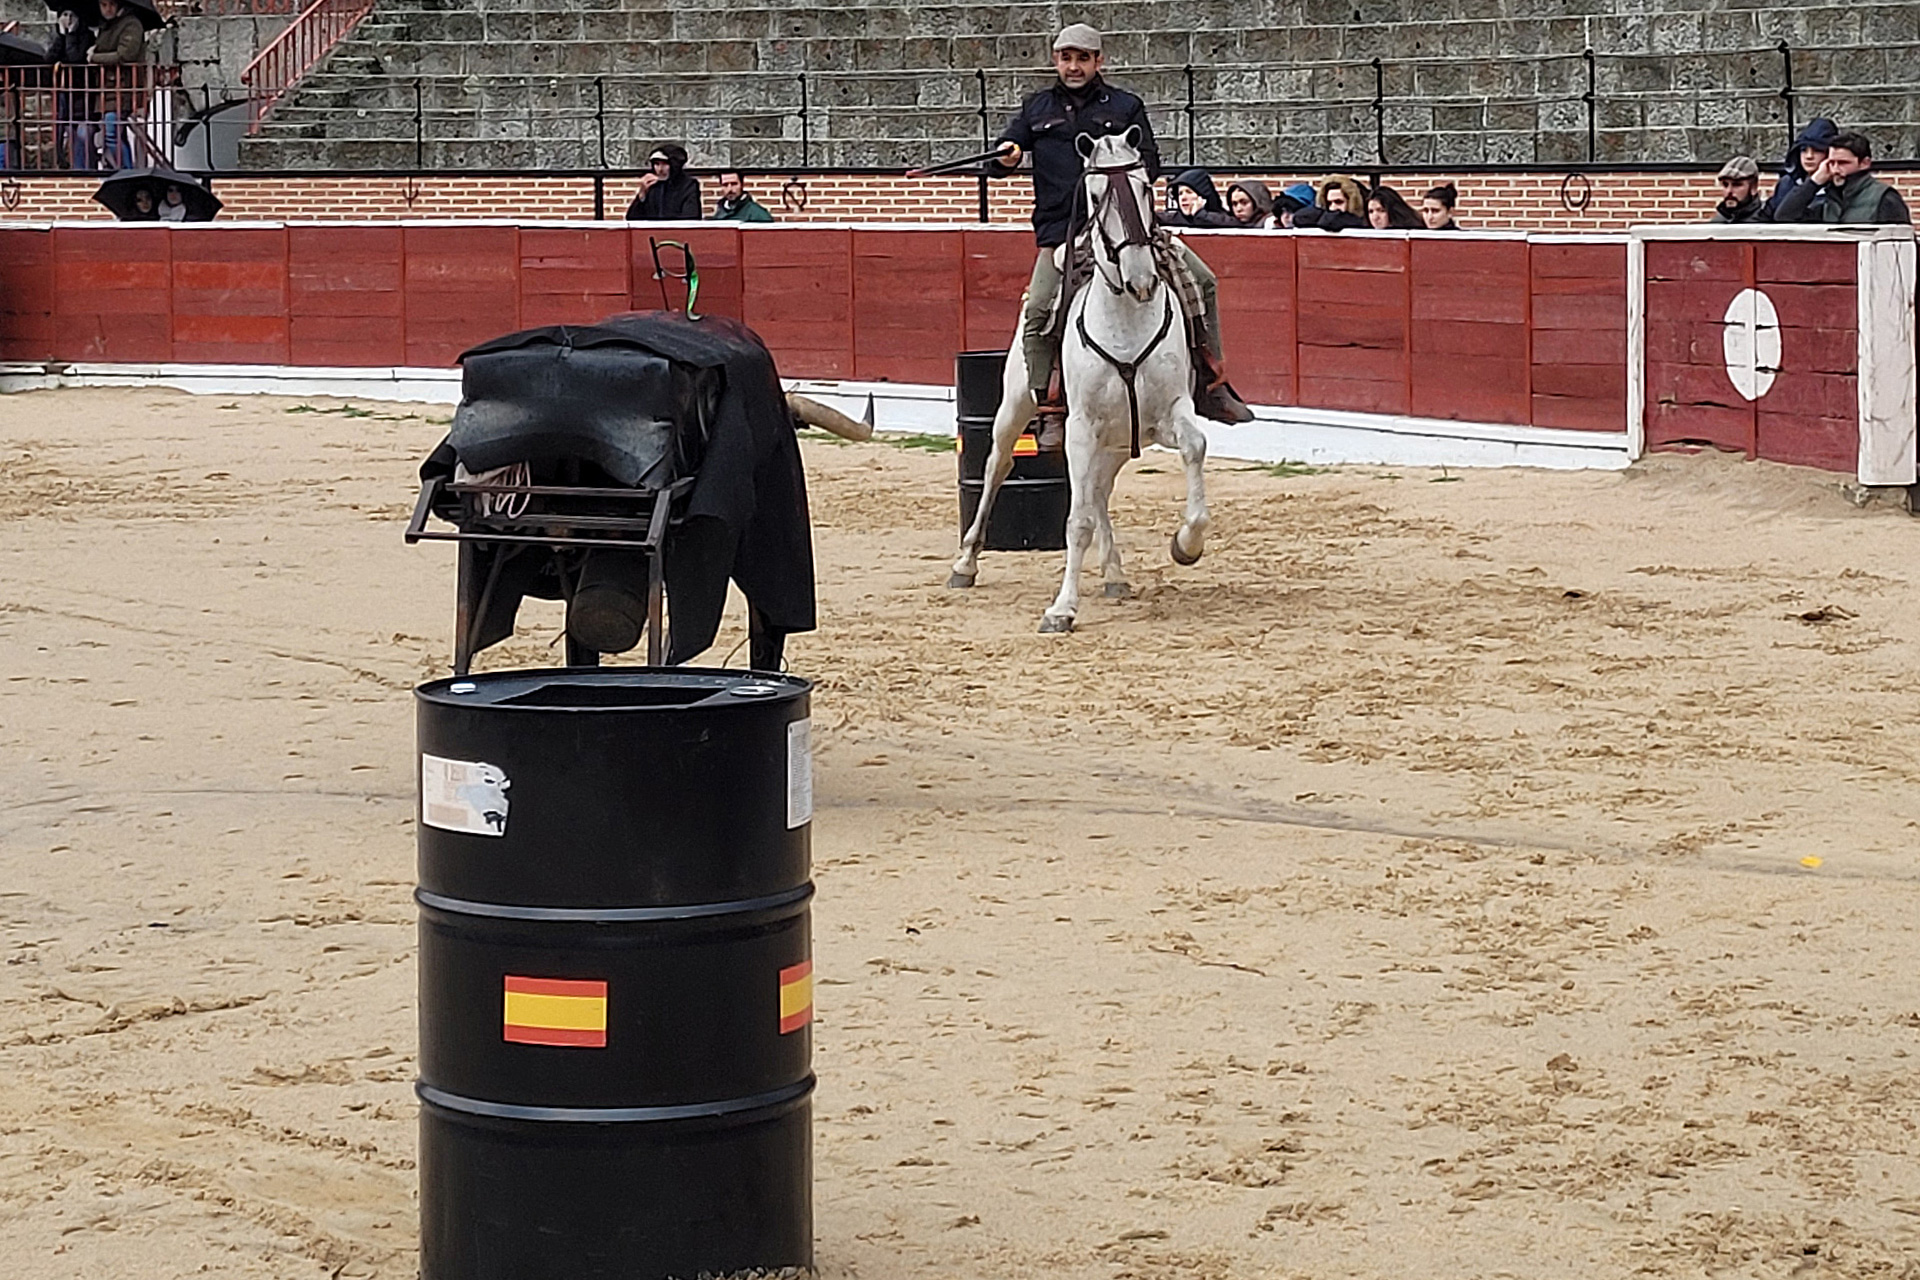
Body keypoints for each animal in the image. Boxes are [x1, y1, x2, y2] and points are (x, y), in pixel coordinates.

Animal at [945, 128, 1211, 633]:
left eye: (1144, 187)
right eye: (1094, 194)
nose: (1142, 279)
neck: (1126, 317)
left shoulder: (1168, 413)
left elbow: (1194, 447)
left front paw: (1186, 544)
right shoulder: (1081, 426)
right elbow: (1077, 521)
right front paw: (1061, 609)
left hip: (1118, 437)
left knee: (1099, 490)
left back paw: (1114, 573)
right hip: (1015, 408)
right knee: (997, 466)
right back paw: (965, 563)